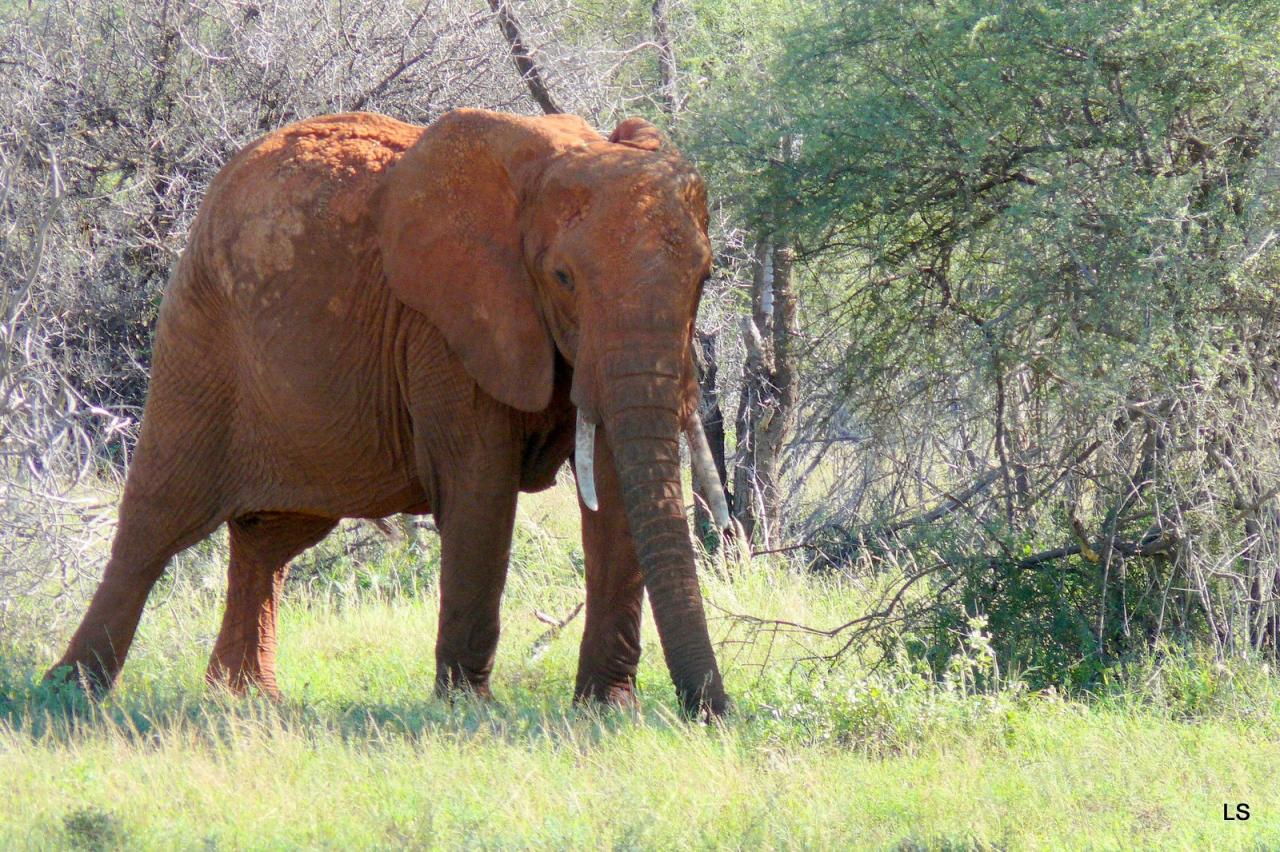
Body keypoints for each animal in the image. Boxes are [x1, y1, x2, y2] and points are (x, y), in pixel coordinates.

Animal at [45, 106, 732, 716]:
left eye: (704, 278)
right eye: (563, 278)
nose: (713, 711)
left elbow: (616, 495)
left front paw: (608, 711)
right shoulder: (445, 326)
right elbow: (480, 486)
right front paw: (467, 710)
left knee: (270, 539)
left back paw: (244, 702)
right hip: (199, 334)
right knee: (158, 518)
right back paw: (69, 694)